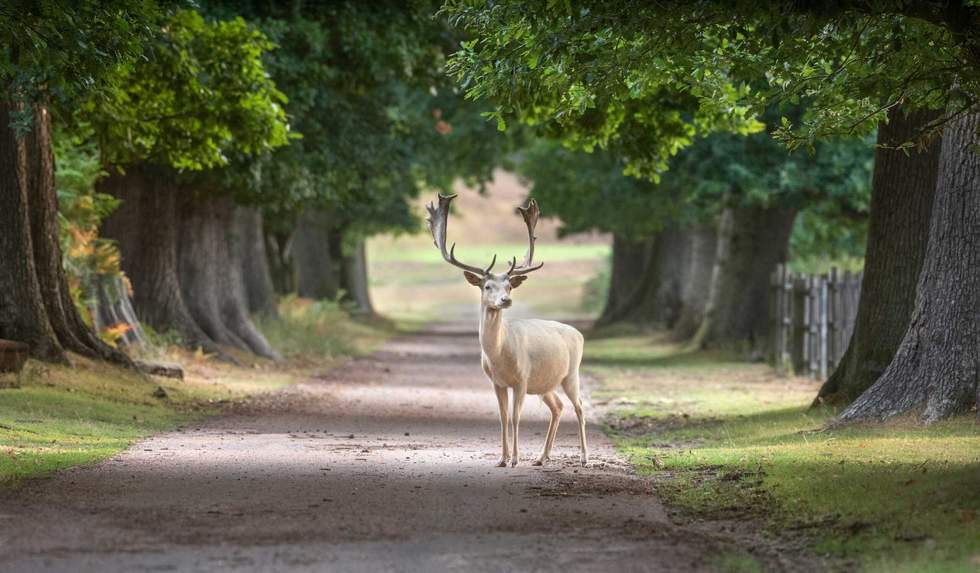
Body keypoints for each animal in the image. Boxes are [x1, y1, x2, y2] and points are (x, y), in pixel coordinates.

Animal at [426, 194, 588, 468]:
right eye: (487, 286)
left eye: (509, 286)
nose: (505, 300)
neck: (500, 355)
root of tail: (579, 334)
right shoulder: (497, 382)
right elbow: (502, 417)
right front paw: (501, 459)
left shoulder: (522, 379)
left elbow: (515, 417)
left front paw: (514, 459)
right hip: (545, 383)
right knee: (558, 407)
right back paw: (541, 458)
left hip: (571, 374)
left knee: (579, 407)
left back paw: (584, 457)